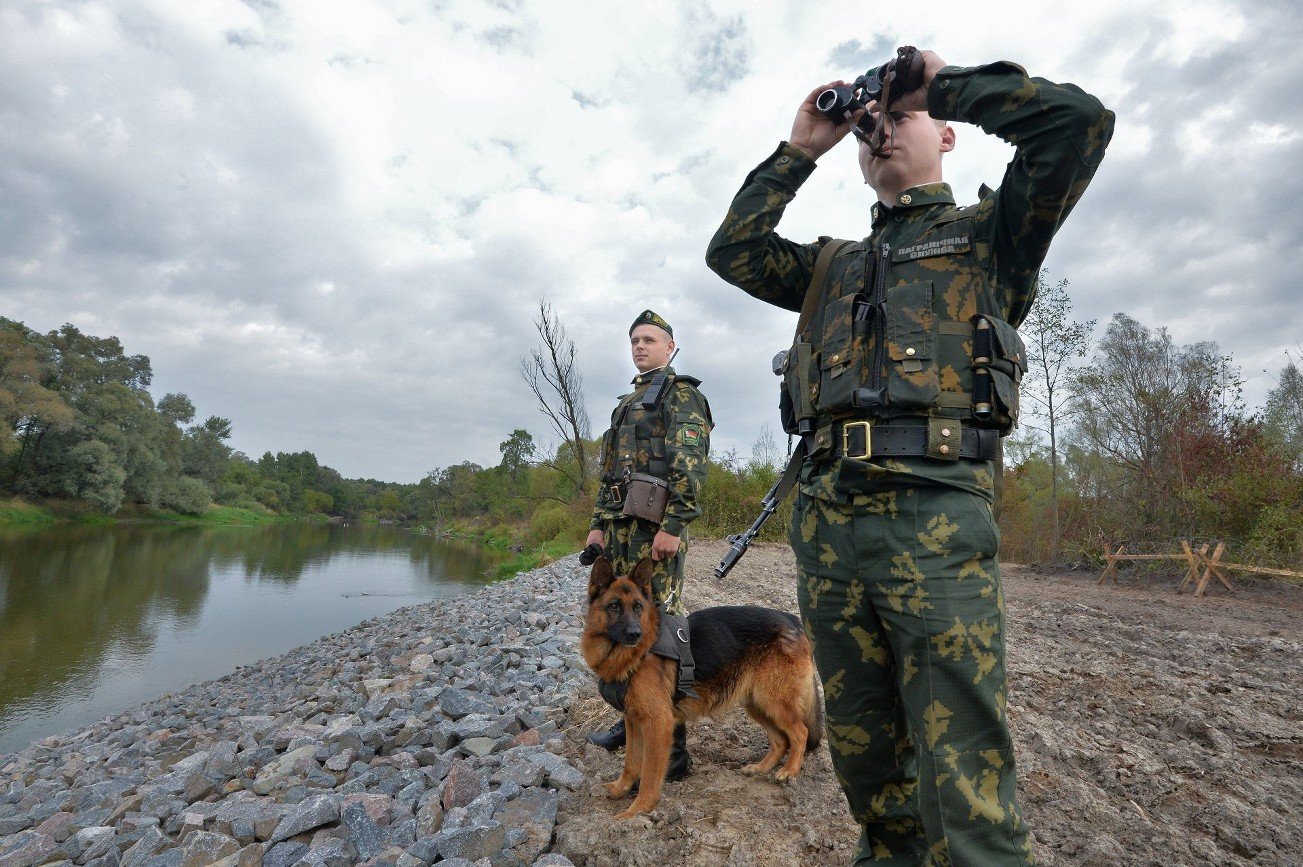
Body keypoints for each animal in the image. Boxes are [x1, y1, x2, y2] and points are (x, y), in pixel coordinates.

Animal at [583, 558, 823, 813]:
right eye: (615, 606)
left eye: (638, 607)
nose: (635, 634)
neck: (637, 655)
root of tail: (793, 620)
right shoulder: (633, 721)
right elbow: (630, 762)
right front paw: (620, 790)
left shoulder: (658, 724)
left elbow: (648, 774)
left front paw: (636, 812)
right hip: (757, 703)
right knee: (780, 741)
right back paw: (760, 768)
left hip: (773, 701)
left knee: (800, 733)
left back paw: (789, 771)